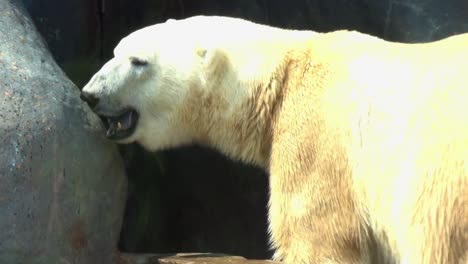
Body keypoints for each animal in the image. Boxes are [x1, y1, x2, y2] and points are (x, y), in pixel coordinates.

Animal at [80, 16, 468, 264]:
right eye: (115, 51)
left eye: (139, 61)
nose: (90, 94)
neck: (281, 73)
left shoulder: (317, 138)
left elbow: (317, 240)